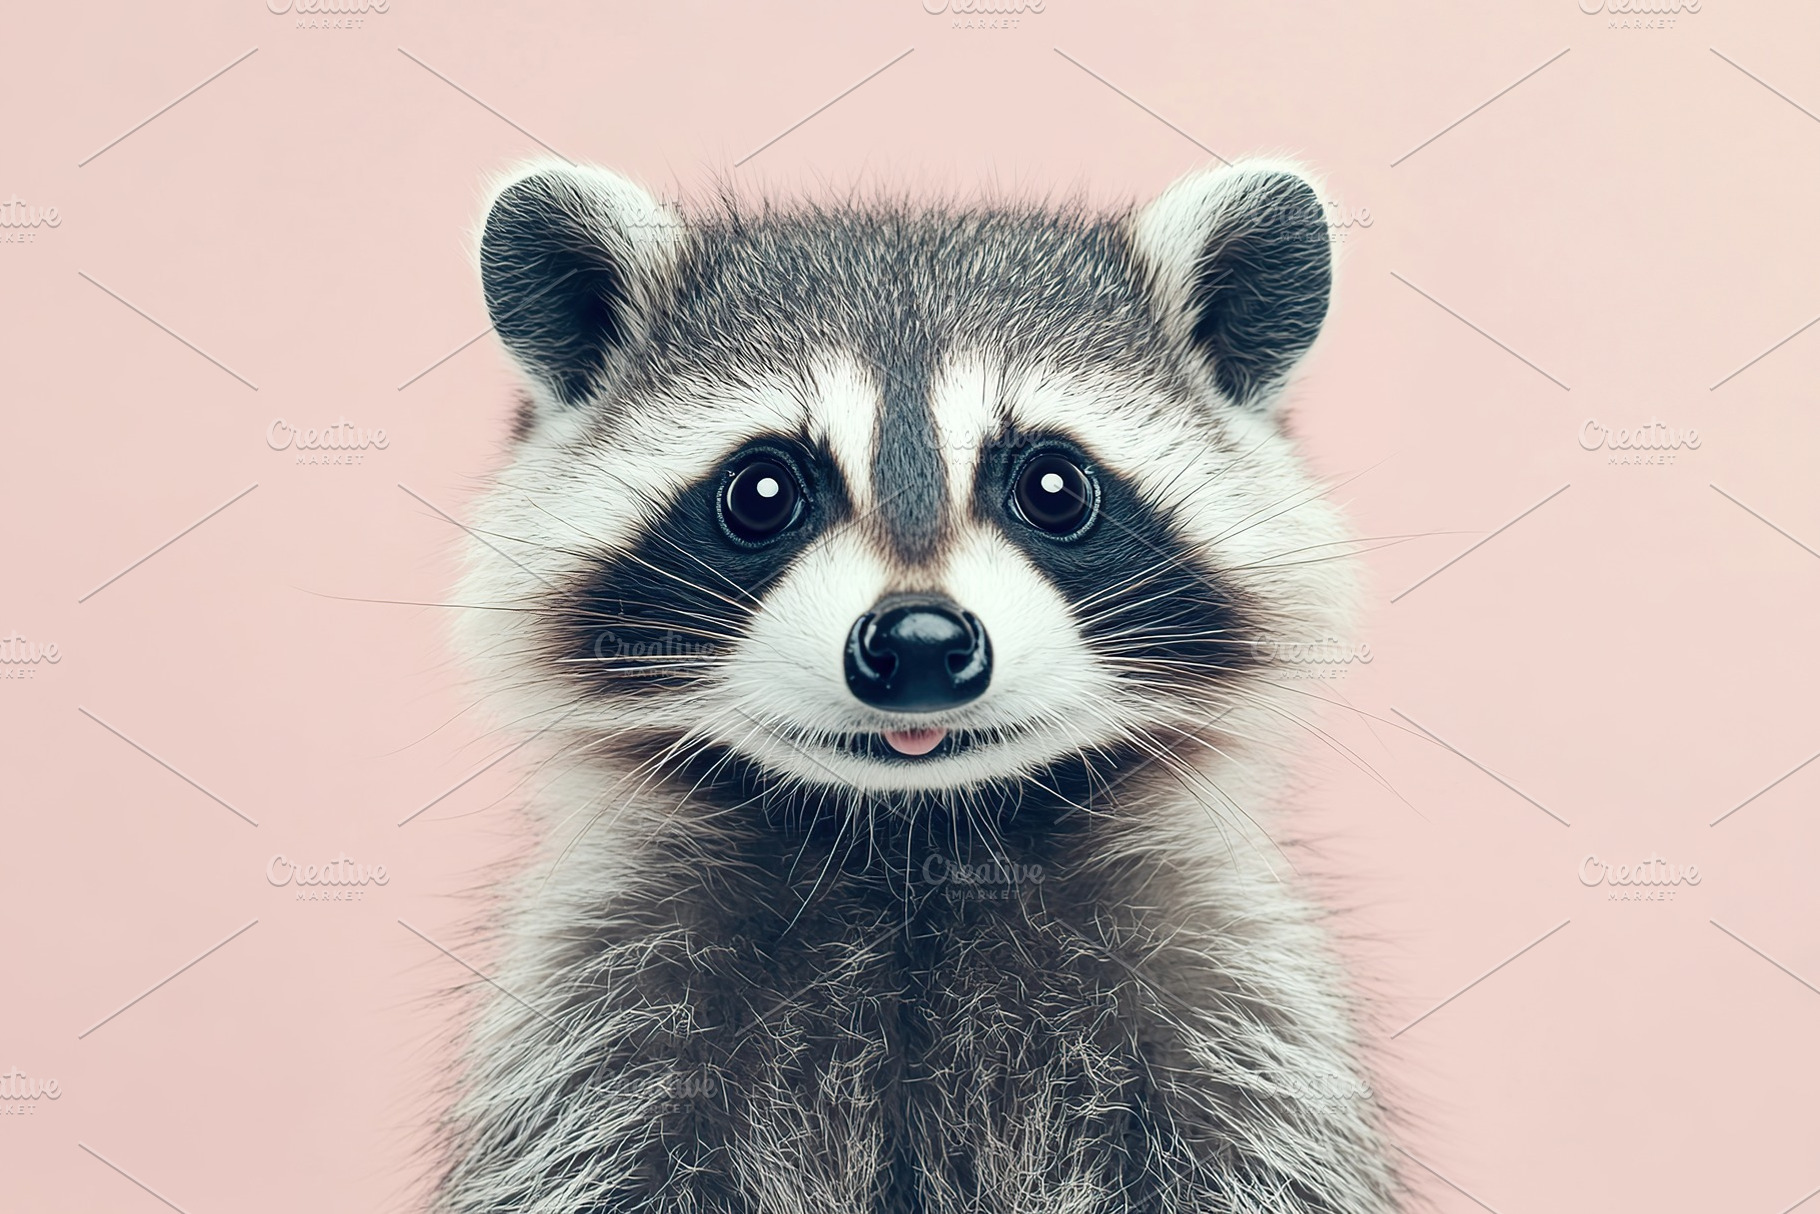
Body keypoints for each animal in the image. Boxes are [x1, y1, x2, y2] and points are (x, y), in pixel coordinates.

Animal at [434, 158, 1399, 1214]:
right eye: (762, 492)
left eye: (1055, 487)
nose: (923, 641)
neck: (915, 846)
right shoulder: (601, 1021)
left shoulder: (1229, 1013)